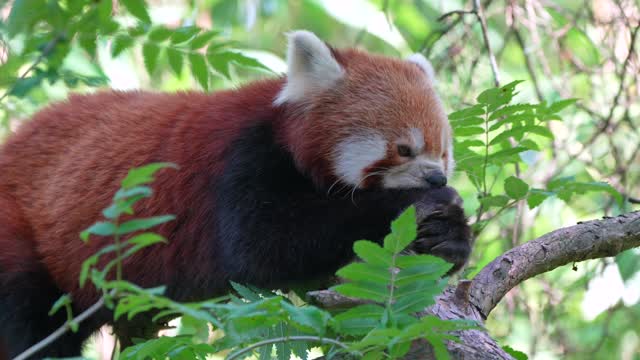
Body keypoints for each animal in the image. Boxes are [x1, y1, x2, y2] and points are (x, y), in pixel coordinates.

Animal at [0, 31, 470, 358]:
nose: (434, 179)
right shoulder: (241, 161)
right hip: (19, 231)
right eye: (404, 149)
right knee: (27, 316)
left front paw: (448, 238)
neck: (285, 133)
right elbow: (265, 244)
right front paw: (421, 205)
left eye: (443, 152)